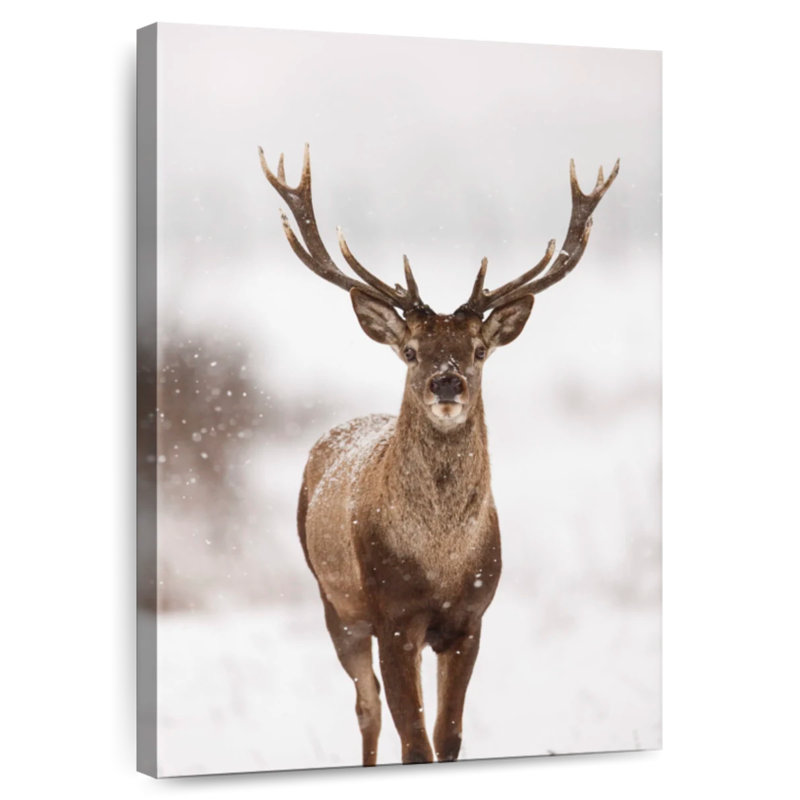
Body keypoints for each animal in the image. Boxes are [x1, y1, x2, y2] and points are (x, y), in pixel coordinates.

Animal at [258, 144, 619, 766]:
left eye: (478, 350)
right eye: (410, 350)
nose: (446, 383)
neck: (441, 562)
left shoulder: (469, 618)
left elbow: (446, 738)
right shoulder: (393, 615)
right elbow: (414, 741)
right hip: (335, 603)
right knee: (368, 709)